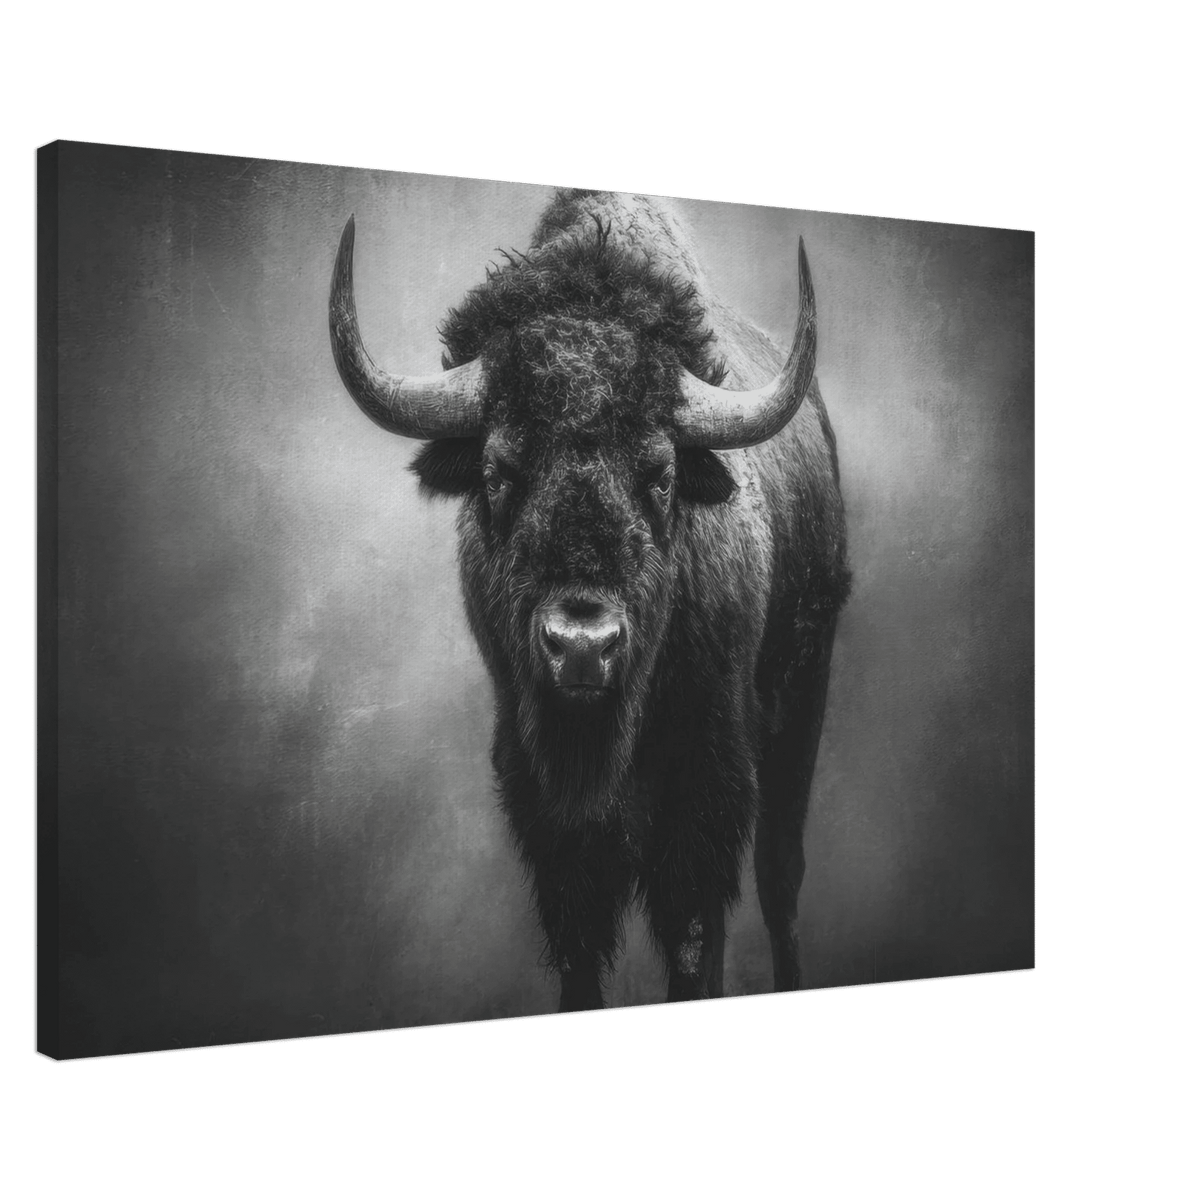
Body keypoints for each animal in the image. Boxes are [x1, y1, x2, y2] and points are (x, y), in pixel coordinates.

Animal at [328, 189, 850, 1013]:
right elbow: (581, 943)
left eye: (661, 474)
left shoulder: (705, 781)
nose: (581, 646)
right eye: (499, 470)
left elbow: (690, 930)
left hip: (802, 696)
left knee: (779, 879)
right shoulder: (543, 802)